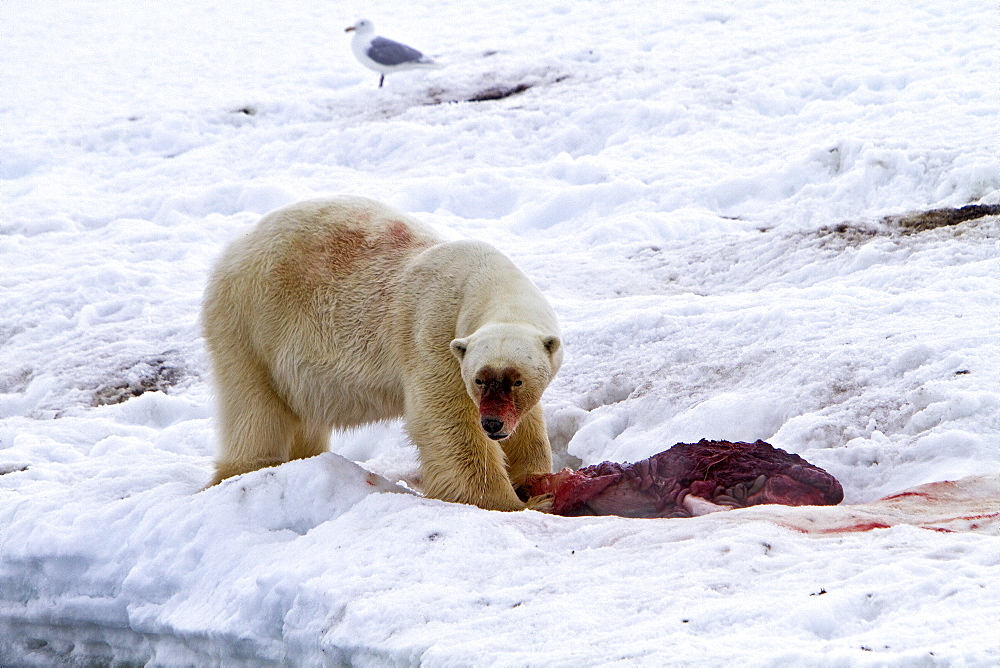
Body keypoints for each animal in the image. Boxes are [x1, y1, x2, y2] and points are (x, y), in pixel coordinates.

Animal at [203, 196, 564, 508]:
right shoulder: (434, 331)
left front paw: (535, 479)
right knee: (255, 410)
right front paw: (522, 504)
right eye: (479, 379)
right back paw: (246, 471)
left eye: (517, 381)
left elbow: (528, 425)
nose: (492, 424)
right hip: (251, 324)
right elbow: (449, 426)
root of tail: (234, 249)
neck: (484, 280)